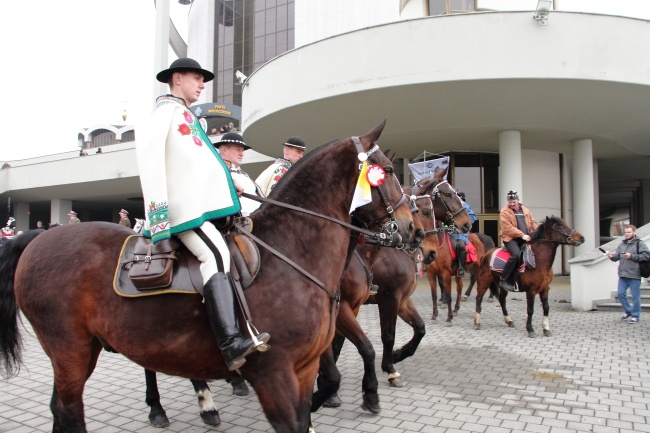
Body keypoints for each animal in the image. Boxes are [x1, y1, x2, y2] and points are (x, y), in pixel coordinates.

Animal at [0, 119, 416, 432]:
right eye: (388, 172)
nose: (411, 229)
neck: (293, 251)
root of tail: (40, 236)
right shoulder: (275, 375)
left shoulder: (303, 368)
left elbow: (325, 385)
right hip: (69, 349)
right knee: (72, 411)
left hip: (92, 348)